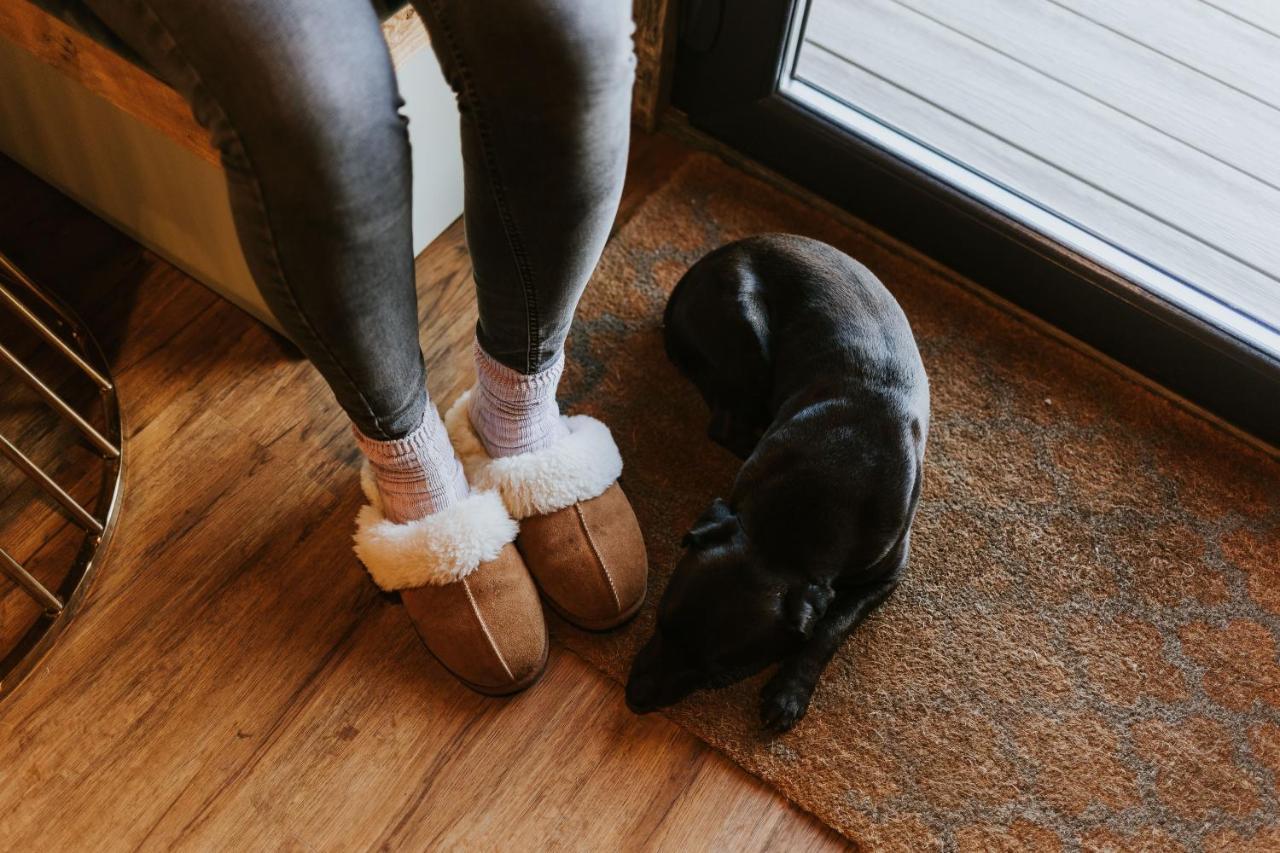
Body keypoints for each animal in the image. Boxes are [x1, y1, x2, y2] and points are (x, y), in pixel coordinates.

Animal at [622, 234, 931, 732]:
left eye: (719, 673)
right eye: (661, 623)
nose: (634, 698)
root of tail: (702, 266)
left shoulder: (885, 575)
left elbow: (829, 628)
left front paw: (789, 692)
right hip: (747, 333)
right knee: (725, 424)